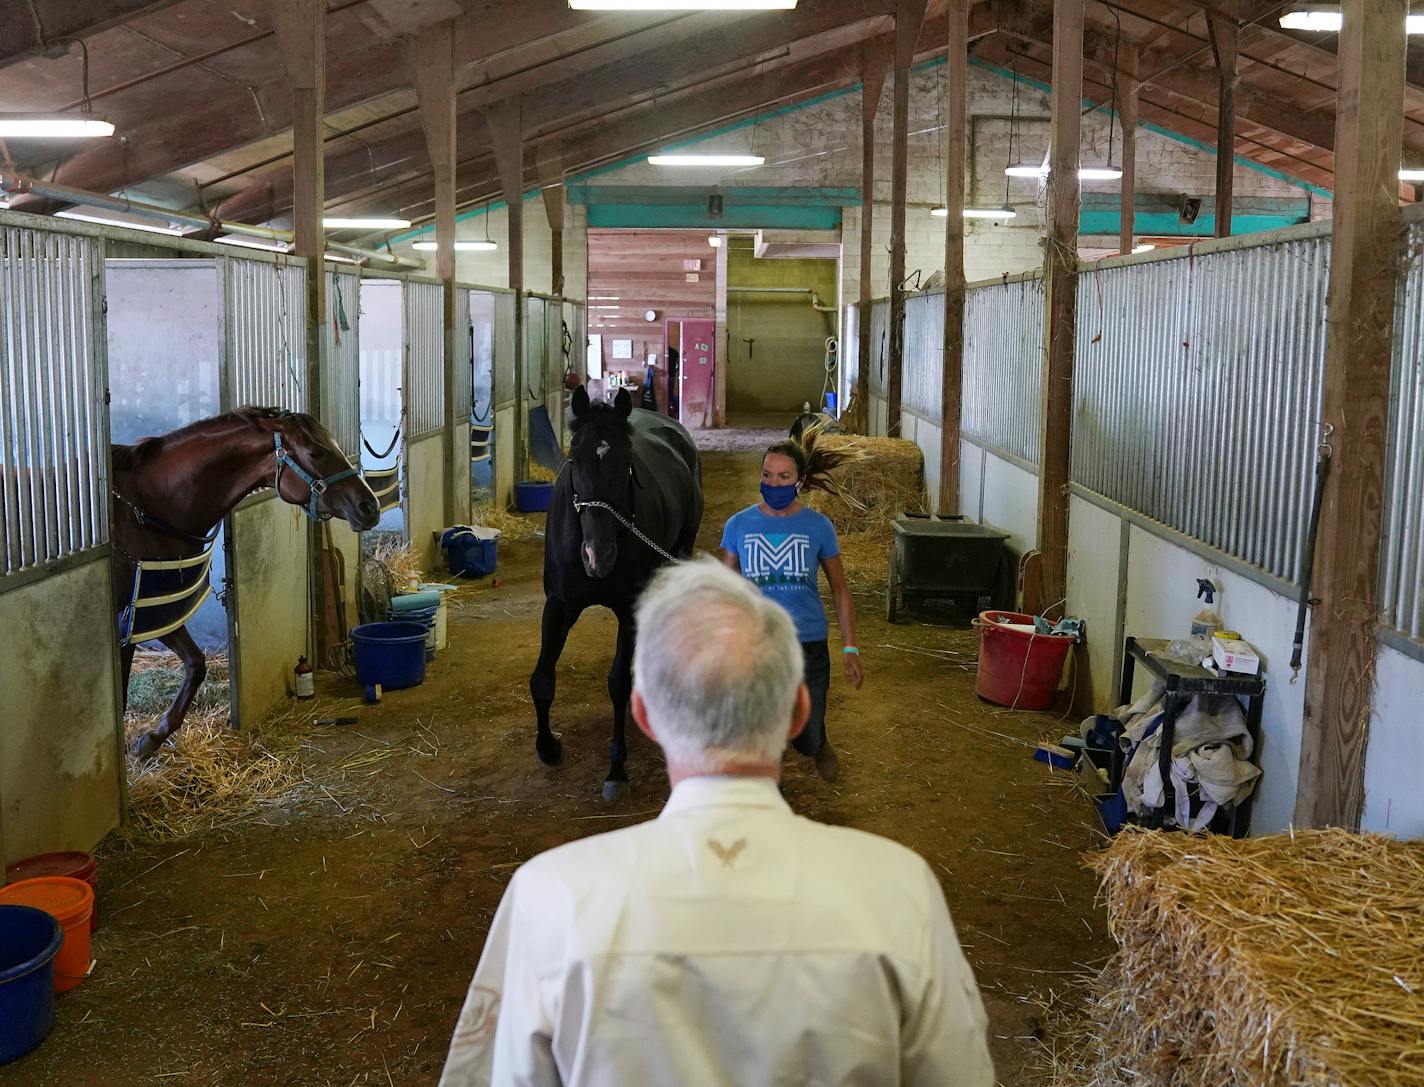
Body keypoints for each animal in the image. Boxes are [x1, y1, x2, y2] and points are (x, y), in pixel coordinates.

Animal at [111, 407, 381, 757]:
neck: (146, 509)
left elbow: (196, 664)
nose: (370, 507)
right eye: (316, 452)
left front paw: (153, 738)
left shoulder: (159, 611)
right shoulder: (131, 619)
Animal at [532, 390, 703, 797]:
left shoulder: (628, 609)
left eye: (627, 464)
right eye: (573, 459)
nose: (599, 556)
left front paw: (616, 769)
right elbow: (542, 679)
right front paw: (548, 747)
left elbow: (618, 684)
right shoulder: (558, 606)